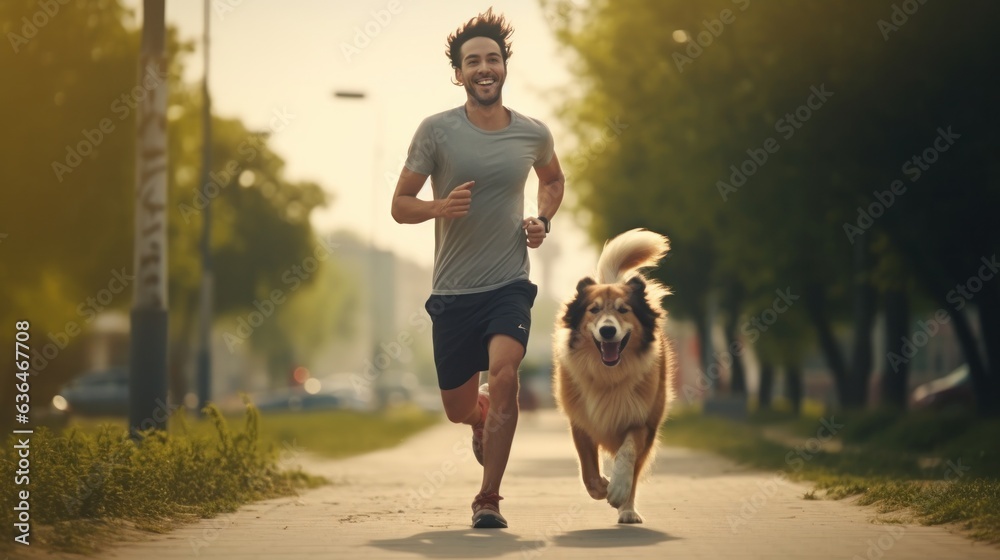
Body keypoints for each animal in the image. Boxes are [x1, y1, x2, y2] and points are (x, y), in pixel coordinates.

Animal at [552, 229, 676, 524]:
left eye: (623, 310)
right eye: (594, 310)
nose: (607, 331)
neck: (608, 375)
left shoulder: (643, 421)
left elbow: (627, 454)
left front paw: (618, 489)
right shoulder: (581, 420)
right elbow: (588, 468)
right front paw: (600, 487)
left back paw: (628, 510)